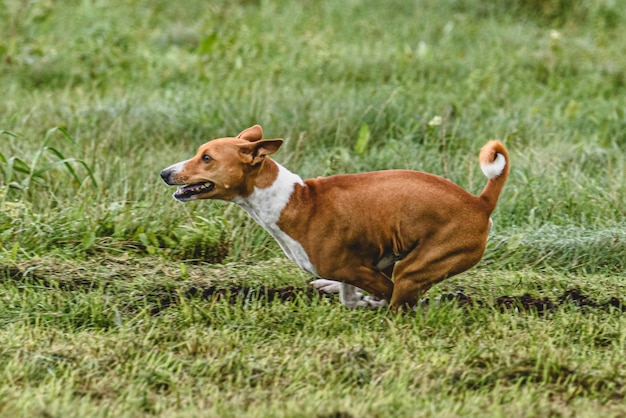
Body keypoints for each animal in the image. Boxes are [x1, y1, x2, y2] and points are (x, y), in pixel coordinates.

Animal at [161, 124, 508, 310]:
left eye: (207, 158)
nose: (165, 173)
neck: (293, 200)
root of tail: (479, 202)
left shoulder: (360, 270)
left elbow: (376, 294)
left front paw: (371, 303)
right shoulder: (360, 267)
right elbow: (349, 297)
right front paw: (352, 297)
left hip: (412, 269)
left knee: (400, 303)